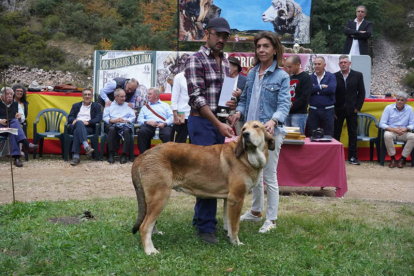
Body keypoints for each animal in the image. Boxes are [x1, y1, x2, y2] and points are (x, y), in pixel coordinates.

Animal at [133, 121, 274, 254]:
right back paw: (150, 251)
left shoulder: (228, 199)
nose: (245, 134)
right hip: (160, 196)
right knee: (144, 226)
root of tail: (143, 154)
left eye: (256, 127)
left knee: (149, 222)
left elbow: (228, 222)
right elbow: (234, 226)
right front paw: (236, 243)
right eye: (244, 129)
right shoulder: (236, 199)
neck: (248, 156)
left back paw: (155, 234)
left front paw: (229, 238)